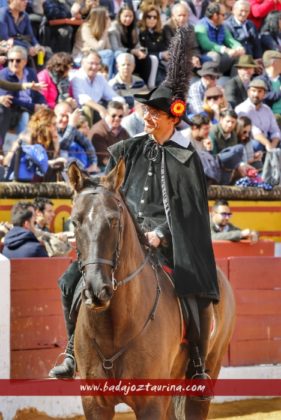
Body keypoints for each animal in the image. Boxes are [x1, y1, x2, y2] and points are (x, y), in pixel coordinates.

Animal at [69, 160, 235, 420]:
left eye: (113, 220)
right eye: (75, 222)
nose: (97, 289)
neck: (115, 326)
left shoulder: (151, 402)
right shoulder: (94, 403)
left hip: (207, 372)